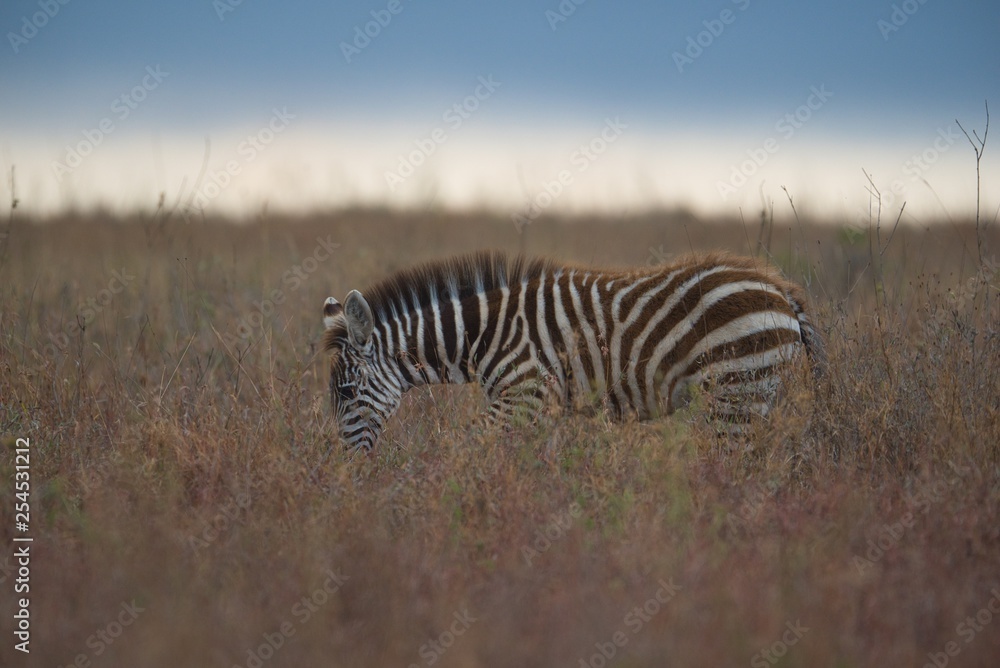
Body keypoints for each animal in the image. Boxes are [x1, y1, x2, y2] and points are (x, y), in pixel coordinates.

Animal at [322, 250, 824, 451]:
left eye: (345, 394)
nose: (348, 470)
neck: (485, 333)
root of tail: (780, 289)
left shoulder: (520, 396)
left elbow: (466, 445)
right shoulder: (540, 407)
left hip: (736, 394)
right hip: (756, 394)